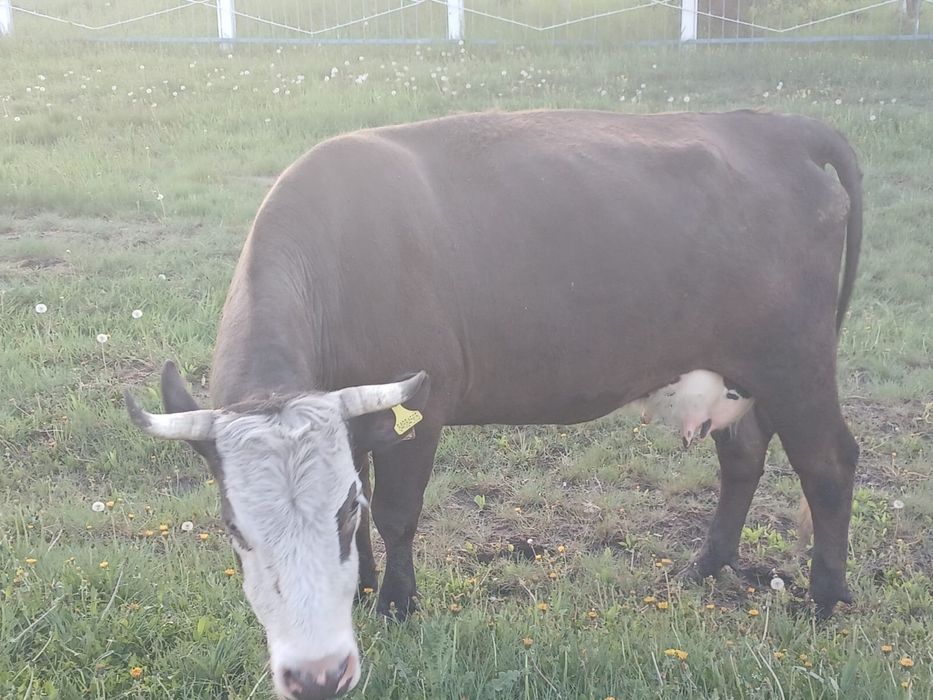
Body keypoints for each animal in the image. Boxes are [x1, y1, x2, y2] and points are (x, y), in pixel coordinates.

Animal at [125, 108, 862, 700]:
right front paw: (361, 586)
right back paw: (707, 565)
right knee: (743, 454)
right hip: (737, 369)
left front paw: (395, 605)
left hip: (794, 361)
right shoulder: (353, 426)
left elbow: (395, 514)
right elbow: (368, 506)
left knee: (828, 462)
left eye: (335, 514)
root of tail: (776, 126)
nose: (316, 676)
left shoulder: (420, 414)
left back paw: (824, 600)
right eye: (234, 528)